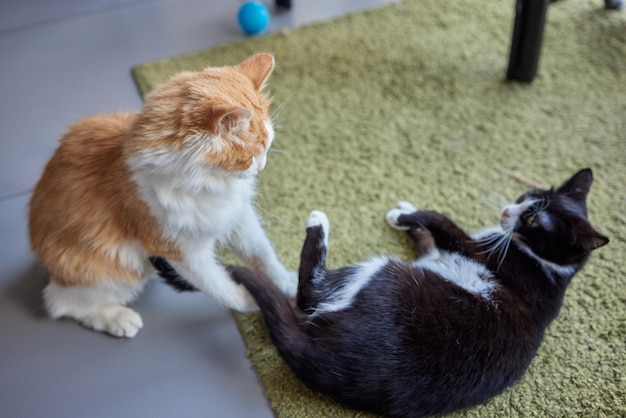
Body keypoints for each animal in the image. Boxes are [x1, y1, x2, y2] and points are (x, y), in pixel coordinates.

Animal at [30, 54, 298, 338]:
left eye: (268, 147)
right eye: (251, 157)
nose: (262, 167)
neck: (209, 183)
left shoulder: (239, 217)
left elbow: (263, 254)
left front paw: (287, 283)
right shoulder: (184, 253)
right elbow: (221, 288)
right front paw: (258, 299)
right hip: (118, 270)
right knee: (59, 302)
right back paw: (118, 319)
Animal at [155, 169, 604, 418]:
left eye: (532, 218)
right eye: (525, 197)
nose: (509, 211)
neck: (549, 268)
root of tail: (324, 360)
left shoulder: (479, 251)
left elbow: (441, 220)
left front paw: (408, 214)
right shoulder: (440, 255)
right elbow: (429, 240)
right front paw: (401, 214)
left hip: (384, 275)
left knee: (308, 293)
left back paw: (318, 223)